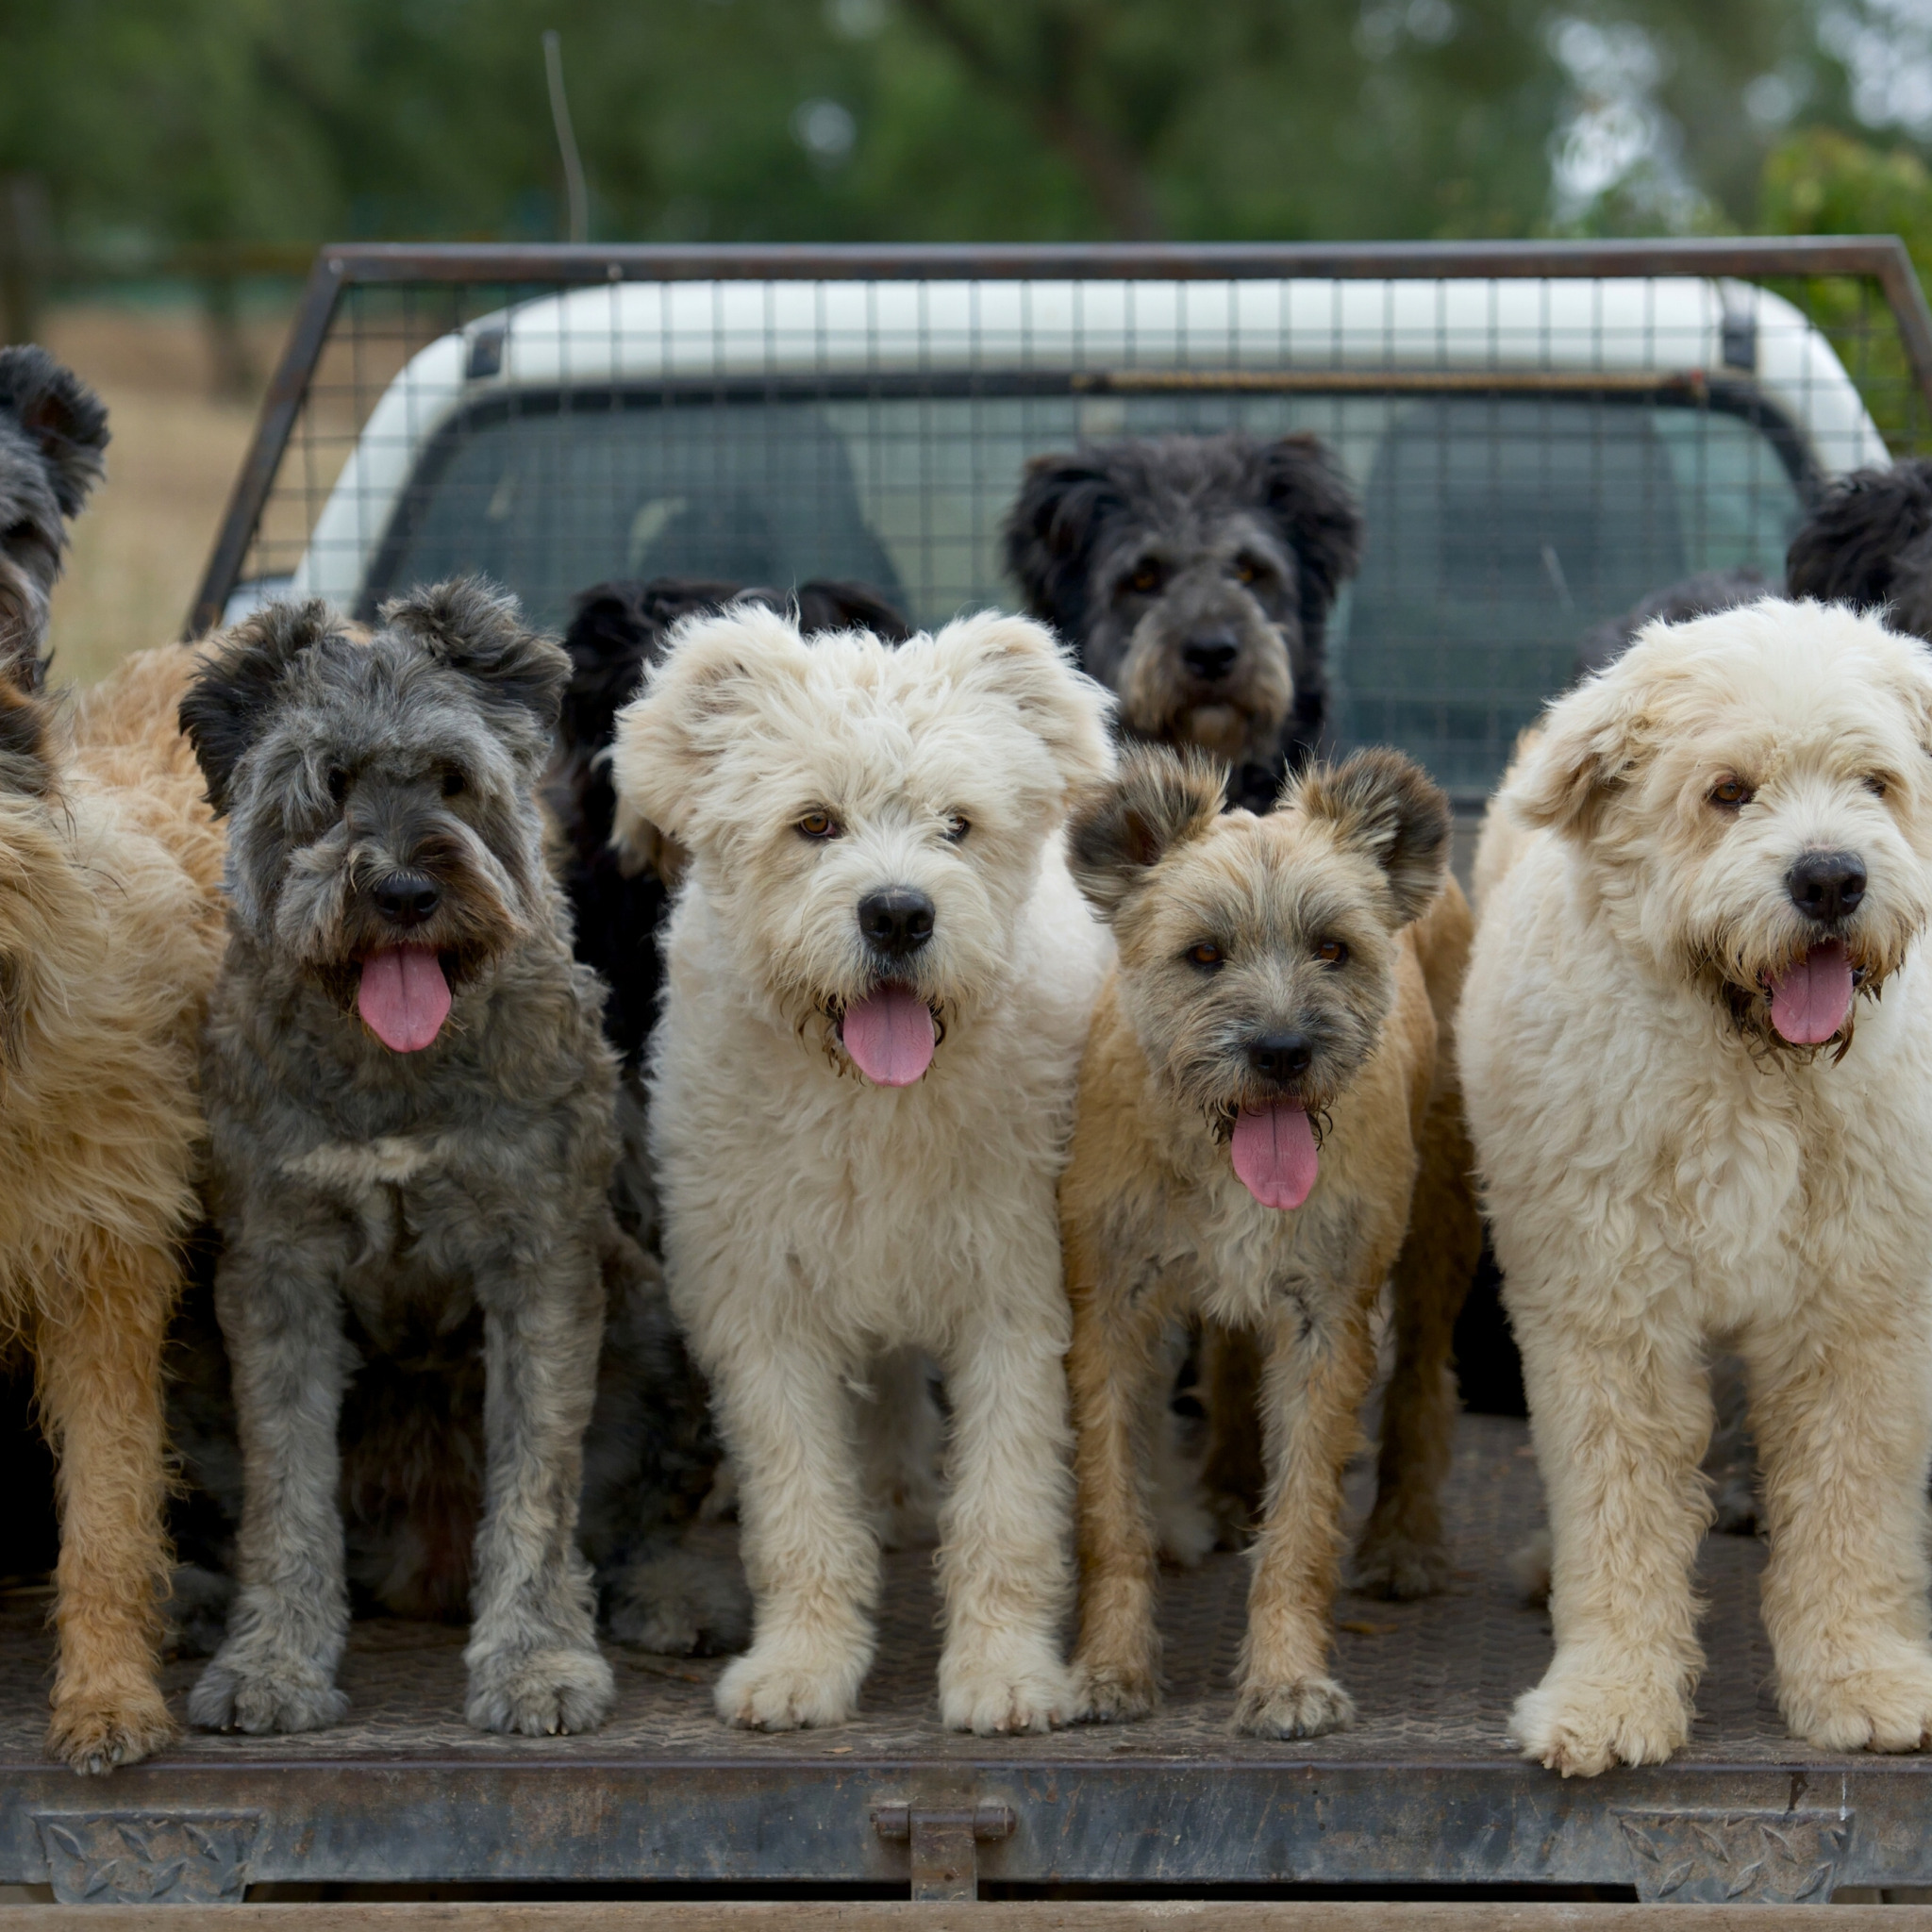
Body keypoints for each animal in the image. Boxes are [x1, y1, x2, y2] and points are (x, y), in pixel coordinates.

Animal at [178, 575, 622, 1739]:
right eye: (326, 786)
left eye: (454, 779)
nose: (405, 893)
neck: (395, 1065)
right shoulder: (277, 1271)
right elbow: (285, 1487)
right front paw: (271, 1665)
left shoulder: (541, 1263)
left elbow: (536, 1486)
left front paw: (538, 1664)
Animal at [610, 607, 1112, 1739]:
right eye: (813, 824)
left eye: (957, 826)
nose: (897, 915)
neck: (874, 1102)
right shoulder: (762, 1305)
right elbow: (798, 1510)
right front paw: (800, 1666)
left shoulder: (1017, 1294)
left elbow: (1007, 1506)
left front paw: (1004, 1674)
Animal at [1453, 594, 1932, 1769]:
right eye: (1726, 791)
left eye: (1873, 781)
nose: (1828, 878)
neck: (1748, 1070)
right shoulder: (1604, 1310)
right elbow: (1615, 1502)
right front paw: (1607, 1694)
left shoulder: (1858, 1310)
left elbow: (1850, 1500)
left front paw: (1857, 1675)